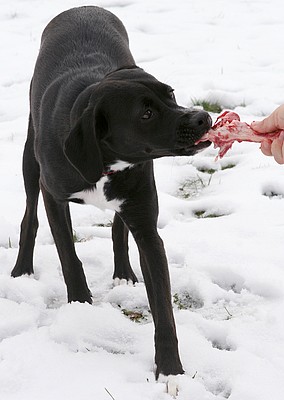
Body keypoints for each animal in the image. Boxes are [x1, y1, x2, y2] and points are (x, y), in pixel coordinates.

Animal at [11, 4, 211, 390]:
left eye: (170, 94)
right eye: (146, 113)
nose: (203, 116)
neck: (105, 158)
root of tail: (81, 7)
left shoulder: (147, 226)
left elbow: (162, 306)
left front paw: (170, 370)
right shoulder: (53, 195)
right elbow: (69, 257)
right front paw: (81, 306)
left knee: (119, 227)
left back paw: (123, 272)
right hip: (30, 162)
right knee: (29, 216)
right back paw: (22, 269)